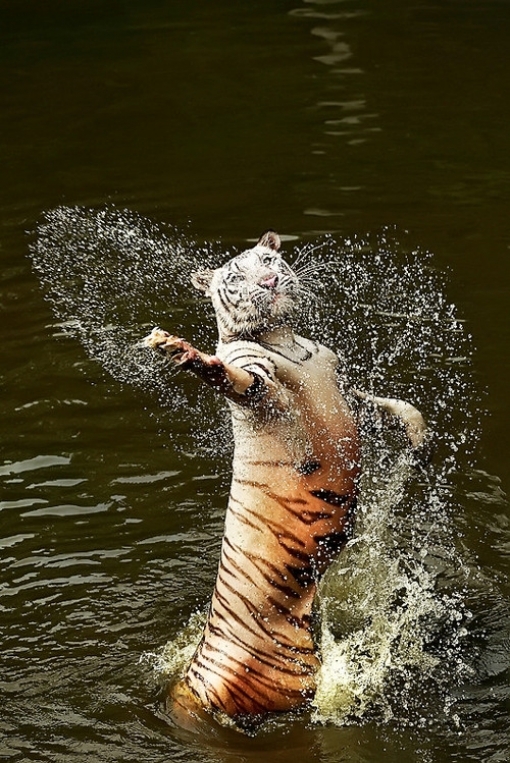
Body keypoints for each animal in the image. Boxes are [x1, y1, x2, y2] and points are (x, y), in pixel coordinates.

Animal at [143, 230, 427, 728]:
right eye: (237, 276)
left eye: (269, 260)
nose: (270, 281)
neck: (287, 343)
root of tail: (193, 683)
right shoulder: (257, 385)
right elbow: (226, 372)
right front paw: (180, 350)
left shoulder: (343, 386)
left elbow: (389, 405)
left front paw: (417, 433)